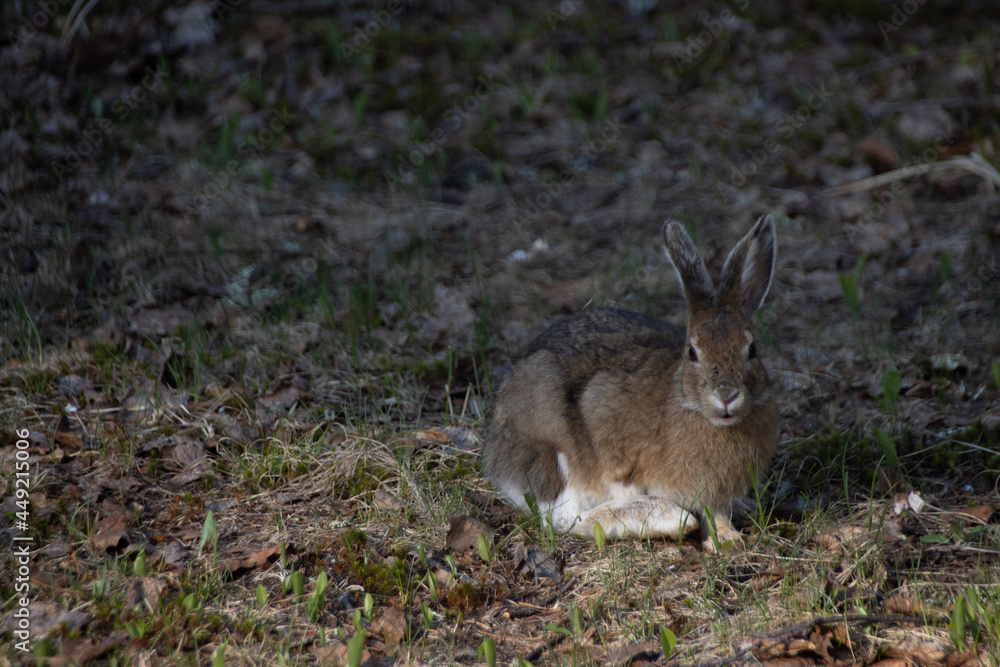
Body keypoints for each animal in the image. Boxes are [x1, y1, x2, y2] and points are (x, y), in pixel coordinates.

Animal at [481, 215, 779, 550]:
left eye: (752, 349)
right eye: (692, 351)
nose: (726, 395)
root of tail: (494, 449)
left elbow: (719, 514)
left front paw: (729, 539)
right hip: (552, 443)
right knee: (562, 518)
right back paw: (661, 517)